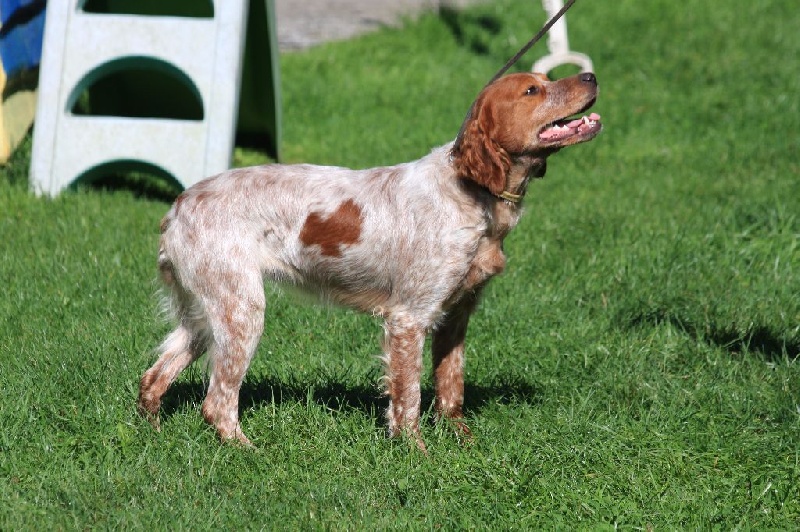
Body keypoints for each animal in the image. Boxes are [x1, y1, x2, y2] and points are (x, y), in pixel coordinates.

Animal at [138, 71, 600, 448]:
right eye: (532, 90)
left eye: (547, 79)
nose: (591, 76)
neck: (472, 192)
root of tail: (178, 206)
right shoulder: (409, 318)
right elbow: (409, 397)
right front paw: (416, 452)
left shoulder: (456, 314)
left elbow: (451, 388)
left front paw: (462, 442)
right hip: (241, 311)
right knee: (217, 401)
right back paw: (247, 451)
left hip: (206, 315)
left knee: (153, 378)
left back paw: (154, 435)